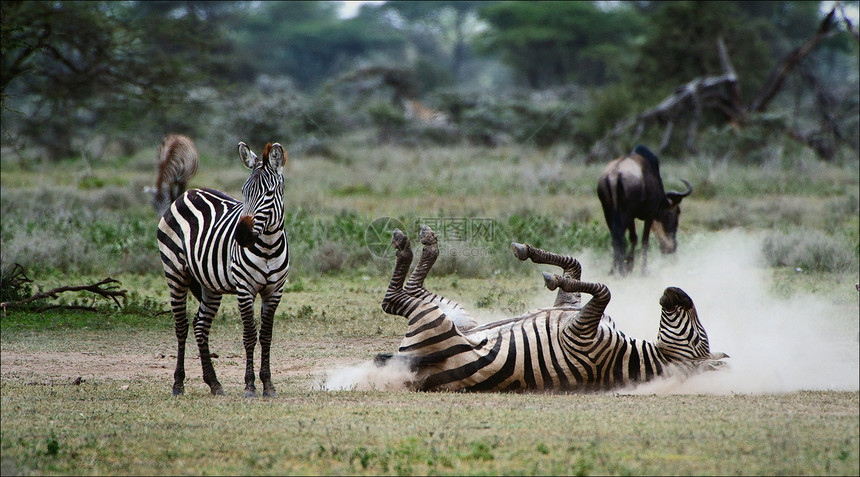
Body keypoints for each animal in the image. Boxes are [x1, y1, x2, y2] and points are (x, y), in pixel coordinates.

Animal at [155, 141, 288, 398]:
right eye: (244, 192)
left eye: (268, 194)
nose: (241, 235)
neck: (268, 245)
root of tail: (188, 193)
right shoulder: (245, 289)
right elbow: (249, 335)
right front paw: (250, 386)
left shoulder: (274, 291)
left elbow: (266, 336)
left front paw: (268, 385)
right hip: (175, 272)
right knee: (181, 327)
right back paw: (178, 384)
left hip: (210, 285)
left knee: (200, 326)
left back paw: (214, 383)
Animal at [376, 225, 724, 392]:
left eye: (698, 339)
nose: (675, 291)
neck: (629, 357)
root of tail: (409, 363)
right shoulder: (572, 312)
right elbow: (576, 265)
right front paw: (531, 254)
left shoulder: (580, 332)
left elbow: (604, 288)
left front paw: (554, 276)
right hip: (460, 317)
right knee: (407, 292)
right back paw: (422, 242)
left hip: (435, 320)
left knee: (395, 299)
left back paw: (411, 245)